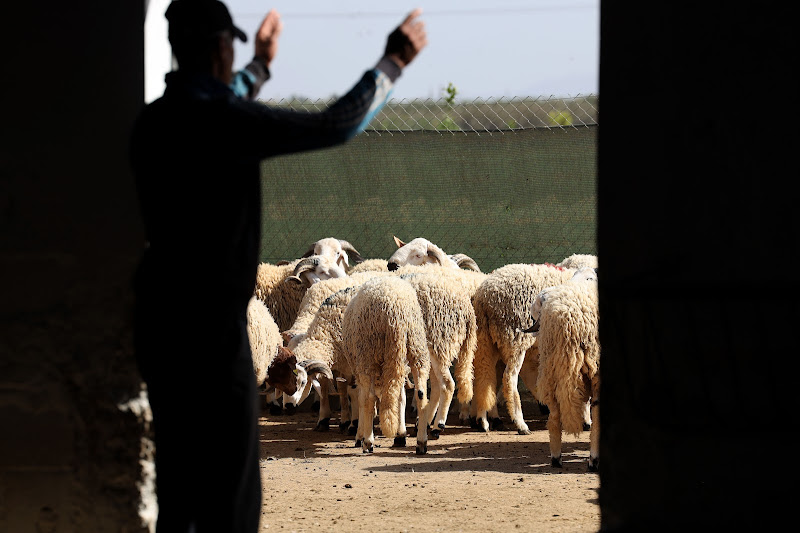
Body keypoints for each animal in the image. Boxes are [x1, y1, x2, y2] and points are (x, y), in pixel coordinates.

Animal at [342, 274, 432, 454]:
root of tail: (395, 309)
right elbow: (401, 398)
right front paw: (400, 434)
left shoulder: (360, 370)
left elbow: (362, 400)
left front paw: (360, 436)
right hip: (416, 345)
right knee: (421, 394)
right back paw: (421, 442)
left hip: (367, 353)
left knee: (369, 398)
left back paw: (368, 443)